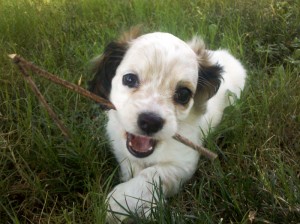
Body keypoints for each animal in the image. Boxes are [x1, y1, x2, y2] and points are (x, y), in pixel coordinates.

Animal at [88, 28, 246, 222]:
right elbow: (133, 169)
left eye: (183, 94)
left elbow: (152, 175)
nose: (150, 122)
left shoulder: (184, 162)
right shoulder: (122, 151)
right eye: (129, 79)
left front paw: (117, 203)